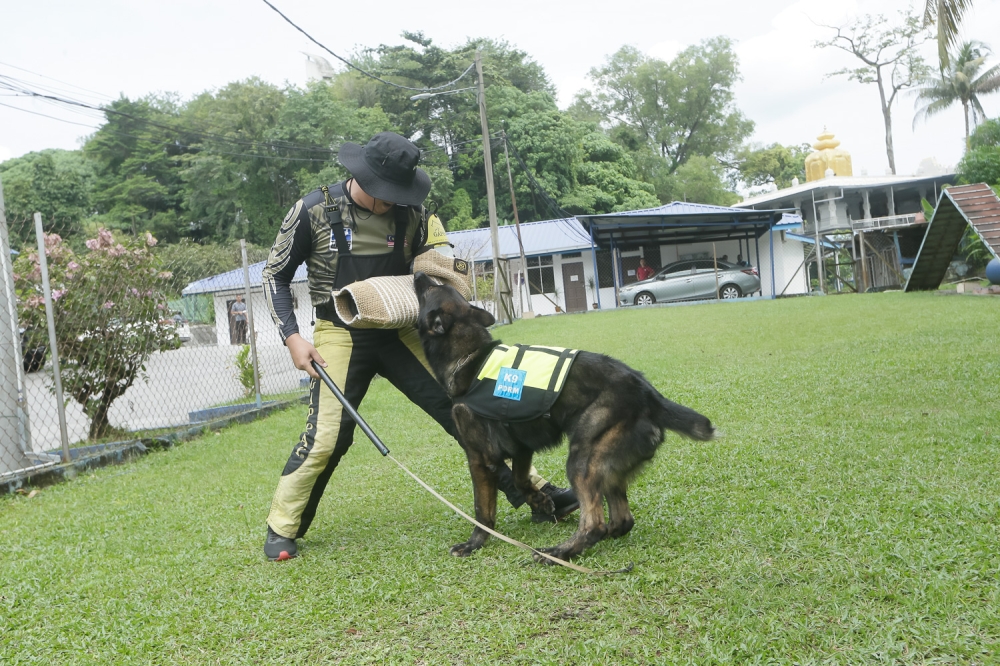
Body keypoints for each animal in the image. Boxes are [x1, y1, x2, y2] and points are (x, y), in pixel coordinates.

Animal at [410, 270, 716, 560]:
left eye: (430, 289)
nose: (417, 273)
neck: (470, 355)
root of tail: (648, 394)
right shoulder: (522, 448)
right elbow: (520, 480)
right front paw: (541, 502)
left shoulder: (479, 458)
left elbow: (482, 510)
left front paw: (474, 543)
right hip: (607, 470)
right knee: (622, 521)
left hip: (582, 459)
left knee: (595, 524)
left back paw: (558, 553)